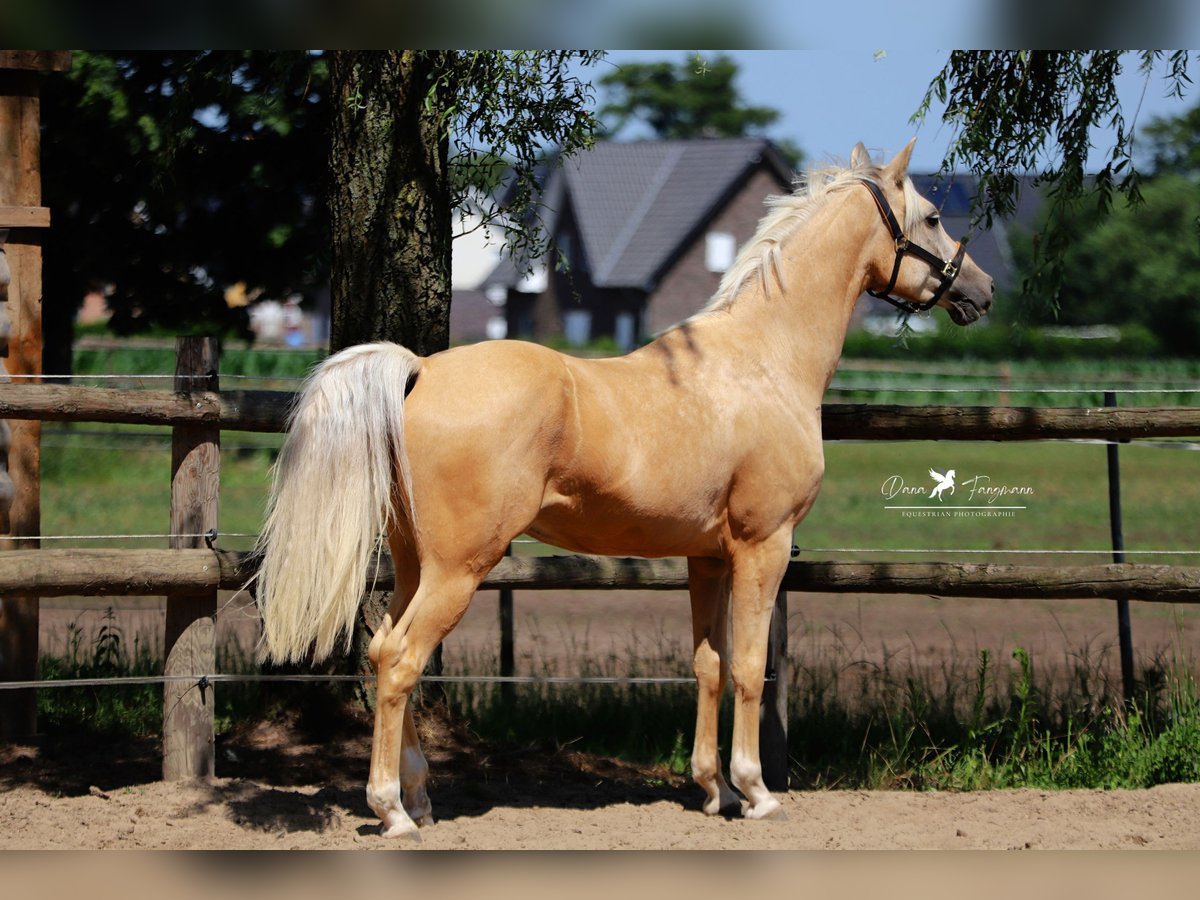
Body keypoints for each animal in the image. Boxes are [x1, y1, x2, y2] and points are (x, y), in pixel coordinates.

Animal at [258, 139, 998, 840]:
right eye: (933, 217)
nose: (984, 291)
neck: (764, 359)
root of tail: (419, 371)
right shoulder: (764, 547)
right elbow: (750, 665)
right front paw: (756, 792)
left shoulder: (707, 558)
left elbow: (708, 664)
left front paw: (713, 791)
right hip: (458, 568)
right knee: (400, 660)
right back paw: (393, 811)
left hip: (416, 564)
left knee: (382, 648)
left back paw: (419, 798)